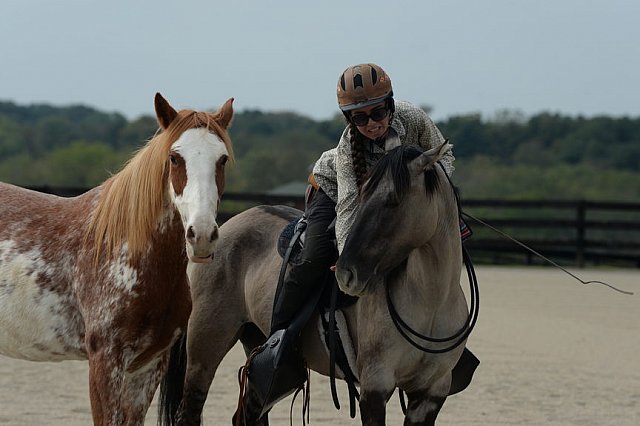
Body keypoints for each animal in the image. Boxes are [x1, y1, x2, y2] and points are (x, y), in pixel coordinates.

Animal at [162, 141, 472, 424]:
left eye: (393, 199)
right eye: (361, 195)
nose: (346, 273)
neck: (432, 302)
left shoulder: (430, 394)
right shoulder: (375, 386)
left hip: (256, 348)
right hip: (204, 351)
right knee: (189, 412)